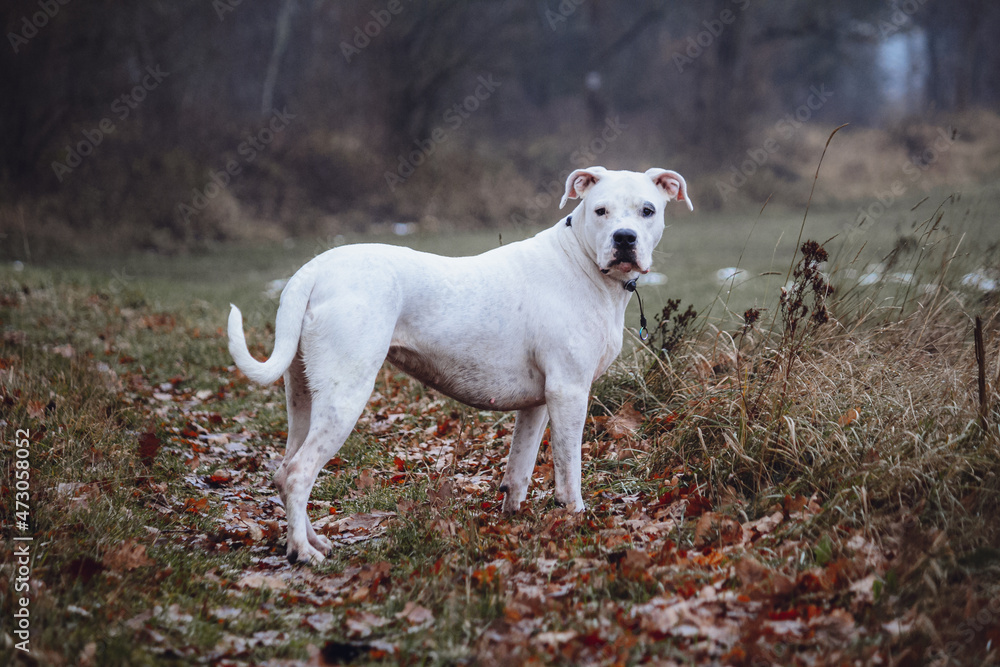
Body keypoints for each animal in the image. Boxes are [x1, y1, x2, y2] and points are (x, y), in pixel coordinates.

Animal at [229, 167, 692, 564]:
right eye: (600, 211)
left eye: (647, 211)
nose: (625, 238)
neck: (582, 261)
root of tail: (313, 269)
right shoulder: (570, 392)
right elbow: (568, 467)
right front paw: (574, 515)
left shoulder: (539, 403)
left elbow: (520, 468)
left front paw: (514, 519)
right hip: (346, 395)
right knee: (298, 474)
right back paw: (302, 553)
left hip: (304, 397)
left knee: (285, 469)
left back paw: (311, 540)